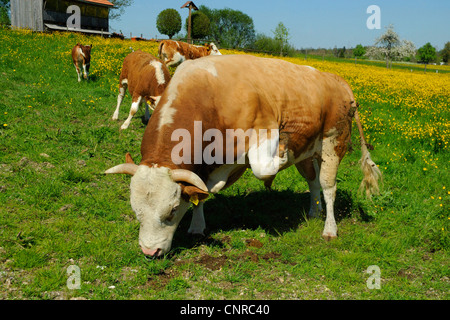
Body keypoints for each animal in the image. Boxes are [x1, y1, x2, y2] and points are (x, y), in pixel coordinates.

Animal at [104, 53, 380, 256]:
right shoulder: (203, 165)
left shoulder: (264, 130)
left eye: (171, 211)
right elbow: (200, 193)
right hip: (308, 151)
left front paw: (280, 155)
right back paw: (314, 212)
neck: (210, 97)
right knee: (313, 182)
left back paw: (329, 229)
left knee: (328, 187)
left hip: (334, 143)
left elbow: (262, 169)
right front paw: (197, 226)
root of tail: (338, 80)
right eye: (136, 210)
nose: (149, 252)